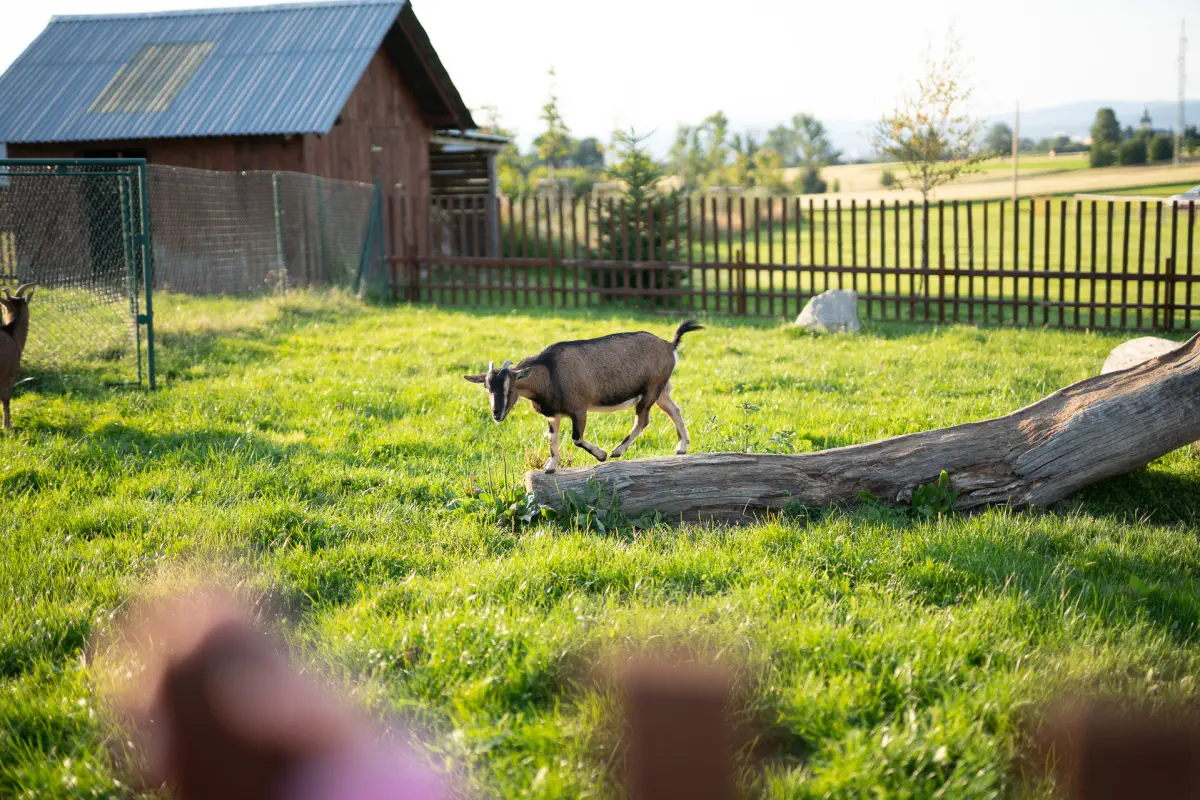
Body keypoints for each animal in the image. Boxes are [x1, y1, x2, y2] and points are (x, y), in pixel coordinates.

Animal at [464, 320, 703, 473]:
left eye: (510, 386)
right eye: (487, 387)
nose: (496, 413)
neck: (550, 373)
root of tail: (670, 345)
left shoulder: (579, 409)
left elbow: (576, 438)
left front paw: (602, 455)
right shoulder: (553, 415)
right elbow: (552, 439)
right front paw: (550, 467)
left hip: (651, 389)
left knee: (643, 419)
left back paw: (617, 451)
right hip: (661, 390)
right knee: (674, 410)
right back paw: (682, 447)